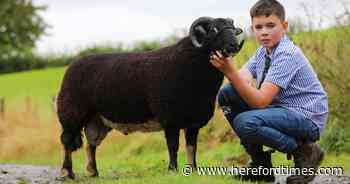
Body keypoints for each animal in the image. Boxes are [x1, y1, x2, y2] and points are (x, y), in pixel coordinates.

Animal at [56, 16, 243, 179]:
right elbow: (173, 147)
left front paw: (193, 170)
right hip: (71, 114)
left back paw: (93, 172)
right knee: (67, 141)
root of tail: (72, 66)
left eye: (233, 29)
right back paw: (67, 173)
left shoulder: (193, 123)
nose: (234, 45)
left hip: (97, 120)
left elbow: (192, 147)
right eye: (213, 29)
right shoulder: (170, 120)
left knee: (91, 145)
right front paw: (172, 170)